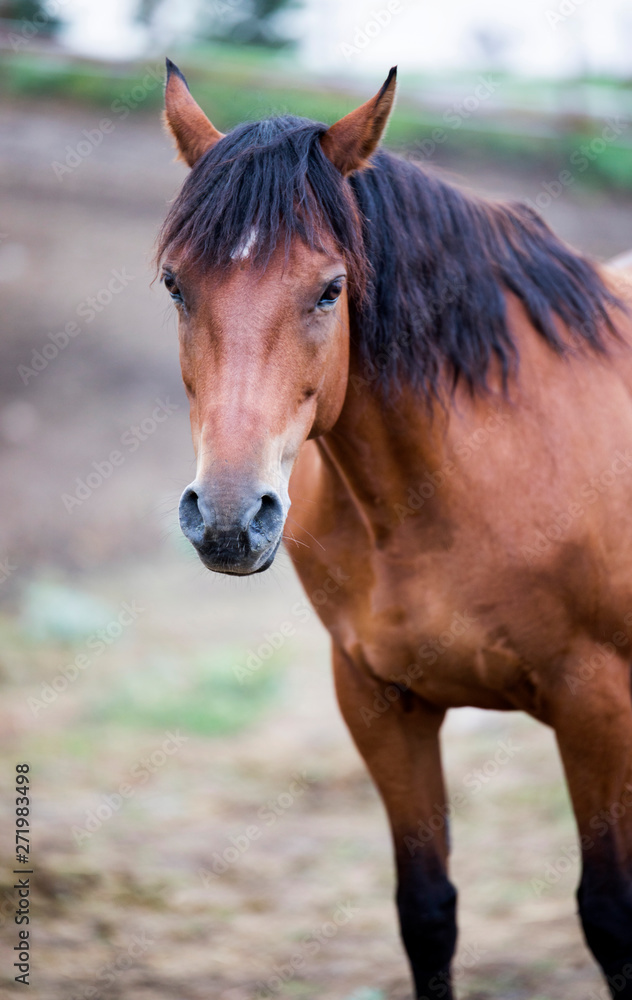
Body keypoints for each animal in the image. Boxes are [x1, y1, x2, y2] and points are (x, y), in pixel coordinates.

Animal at [157, 59, 632, 998]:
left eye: (330, 289)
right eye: (176, 284)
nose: (228, 519)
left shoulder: (596, 702)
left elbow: (611, 915)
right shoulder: (379, 702)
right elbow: (427, 911)